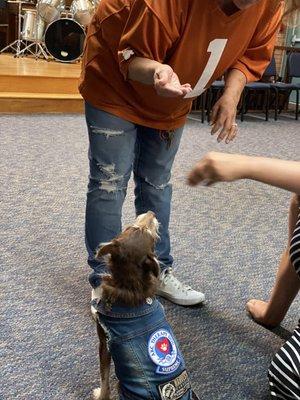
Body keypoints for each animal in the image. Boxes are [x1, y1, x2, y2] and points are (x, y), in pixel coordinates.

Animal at [92, 211, 198, 398]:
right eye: (132, 228)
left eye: (149, 233)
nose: (152, 212)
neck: (131, 283)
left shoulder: (104, 342)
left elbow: (104, 380)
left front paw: (99, 395)